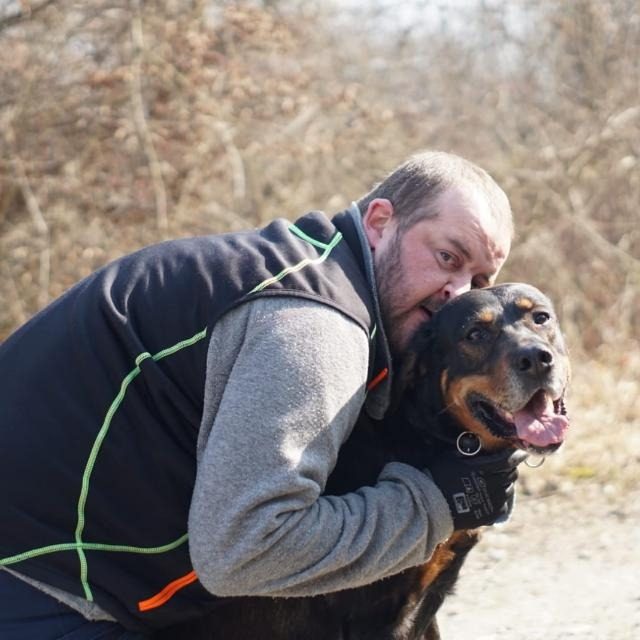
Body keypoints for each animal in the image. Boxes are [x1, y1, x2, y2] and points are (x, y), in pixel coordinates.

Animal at [158, 282, 570, 640]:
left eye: (541, 318)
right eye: (474, 335)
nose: (536, 359)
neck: (428, 434)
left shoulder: (429, 597)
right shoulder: (374, 614)